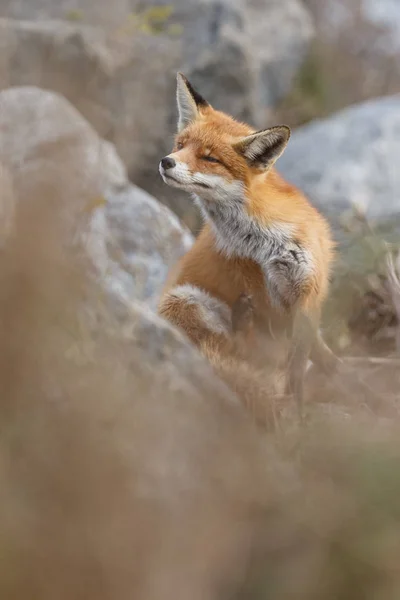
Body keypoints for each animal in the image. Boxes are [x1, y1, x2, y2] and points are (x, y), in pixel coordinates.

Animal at [157, 74, 338, 422]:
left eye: (210, 158)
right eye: (181, 145)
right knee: (238, 352)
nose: (166, 161)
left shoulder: (308, 289)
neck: (264, 241)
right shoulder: (260, 289)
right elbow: (286, 365)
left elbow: (304, 360)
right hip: (184, 300)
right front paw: (294, 409)